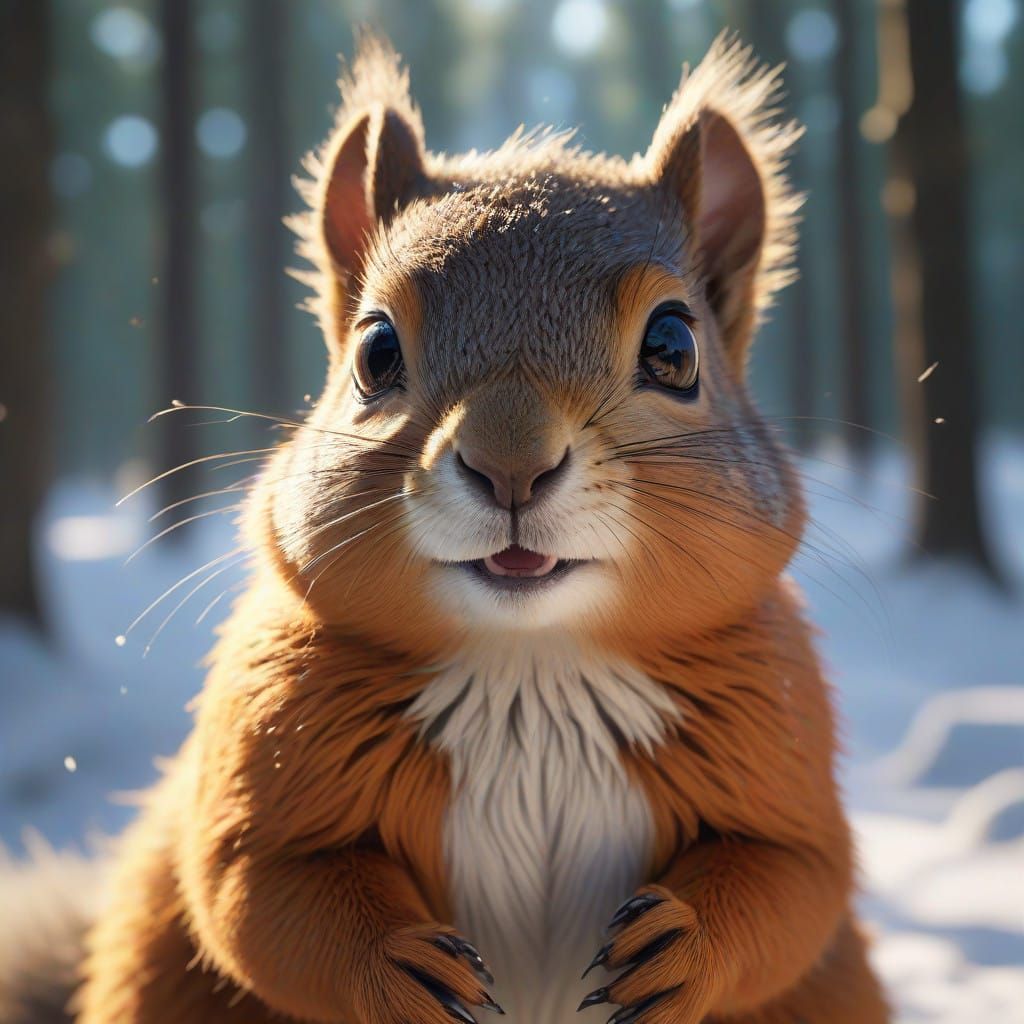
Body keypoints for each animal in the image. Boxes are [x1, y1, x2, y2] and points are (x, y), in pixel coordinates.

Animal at [45, 31, 889, 1024]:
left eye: (675, 347)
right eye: (374, 350)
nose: (511, 464)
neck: (532, 662)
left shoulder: (781, 723)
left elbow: (795, 878)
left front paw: (681, 945)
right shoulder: (266, 729)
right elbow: (255, 890)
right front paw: (397, 966)